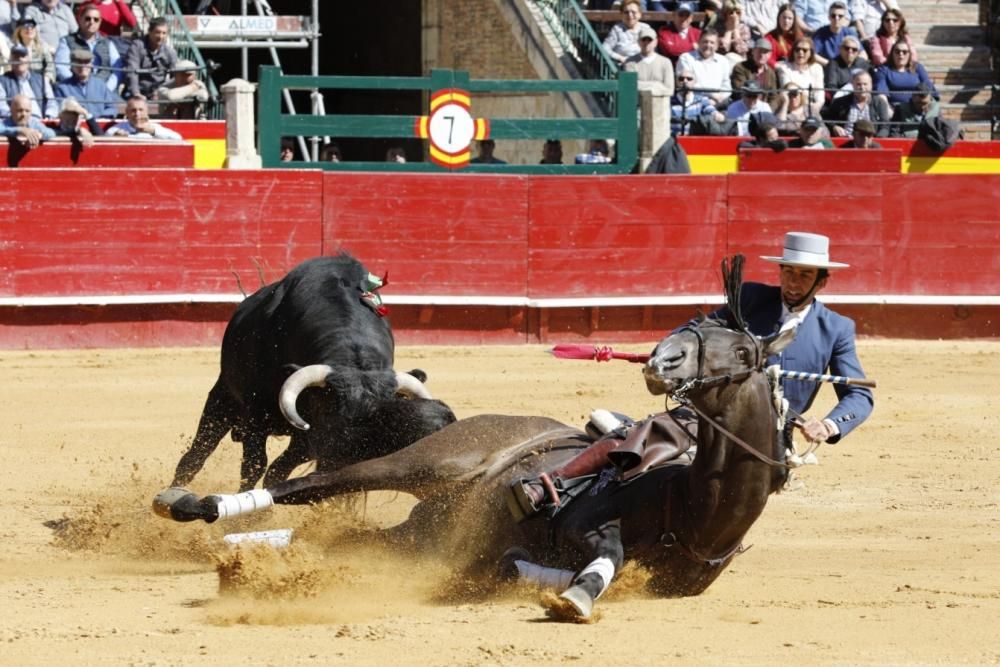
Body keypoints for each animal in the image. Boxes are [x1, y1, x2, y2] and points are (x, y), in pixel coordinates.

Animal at [169, 254, 458, 490]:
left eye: (384, 422)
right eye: (334, 416)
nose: (341, 469)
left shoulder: (308, 440)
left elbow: (276, 471)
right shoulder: (257, 418)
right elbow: (254, 466)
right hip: (223, 398)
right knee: (195, 456)